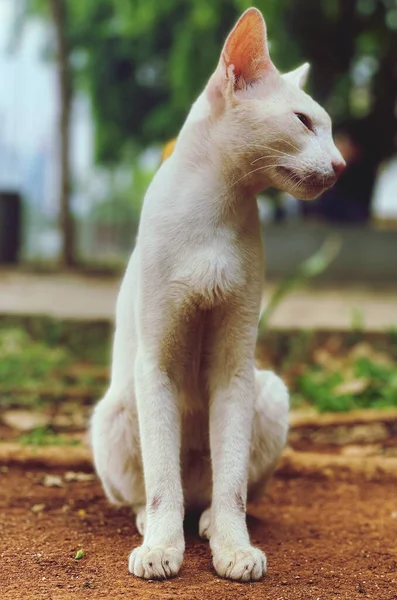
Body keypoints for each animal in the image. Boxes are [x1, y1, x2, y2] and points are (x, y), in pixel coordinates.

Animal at [89, 8, 344, 580]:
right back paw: (153, 525)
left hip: (269, 392)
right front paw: (161, 549)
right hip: (114, 408)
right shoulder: (156, 362)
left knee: (213, 490)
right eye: (304, 122)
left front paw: (234, 549)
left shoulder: (235, 366)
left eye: (329, 128)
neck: (216, 212)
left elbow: (232, 488)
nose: (342, 165)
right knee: (157, 489)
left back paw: (205, 523)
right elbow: (162, 482)